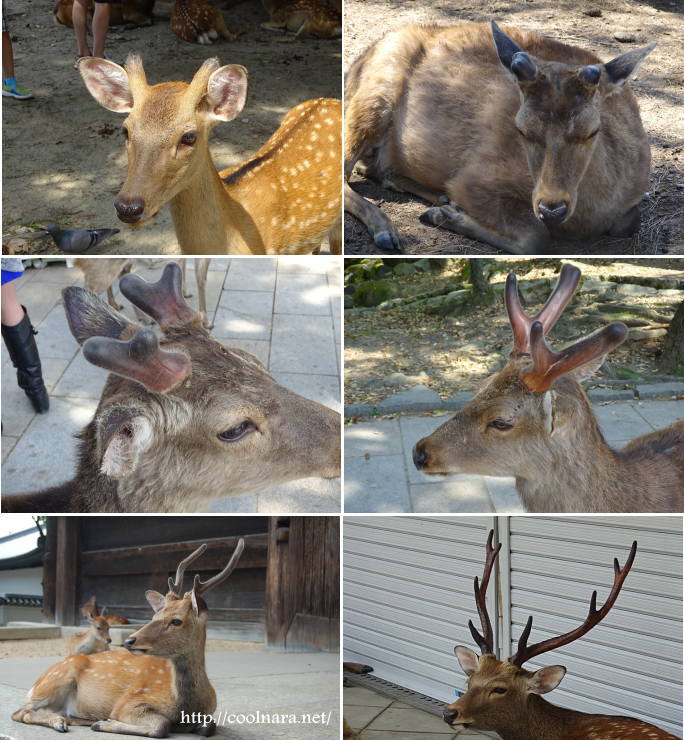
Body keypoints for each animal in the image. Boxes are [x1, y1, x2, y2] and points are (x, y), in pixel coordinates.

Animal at [13, 541, 243, 737]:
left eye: (176, 621)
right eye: (154, 616)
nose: (129, 641)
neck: (188, 708)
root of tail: (35, 684)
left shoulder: (209, 713)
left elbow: (209, 726)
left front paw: (101, 722)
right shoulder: (129, 701)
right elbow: (162, 725)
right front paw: (104, 723)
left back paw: (76, 719)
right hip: (57, 679)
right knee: (20, 712)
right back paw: (63, 722)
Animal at [345, 21, 655, 254]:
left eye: (591, 130)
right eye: (521, 129)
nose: (552, 208)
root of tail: (354, 66)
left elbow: (629, 223)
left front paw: (446, 210)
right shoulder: (473, 179)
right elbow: (535, 238)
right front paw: (444, 215)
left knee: (374, 168)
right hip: (372, 97)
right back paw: (388, 229)